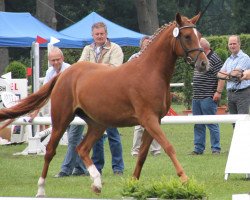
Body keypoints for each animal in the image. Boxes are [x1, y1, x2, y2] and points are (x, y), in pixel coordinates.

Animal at [0, 12, 208, 197]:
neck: (150, 72)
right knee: (50, 151)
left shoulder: (154, 121)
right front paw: (185, 180)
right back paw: (41, 190)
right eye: (187, 37)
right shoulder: (149, 119)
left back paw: (97, 183)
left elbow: (142, 155)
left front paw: (132, 185)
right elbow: (168, 147)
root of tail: (64, 74)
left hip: (97, 124)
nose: (204, 64)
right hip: (61, 120)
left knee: (82, 148)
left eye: (199, 36)